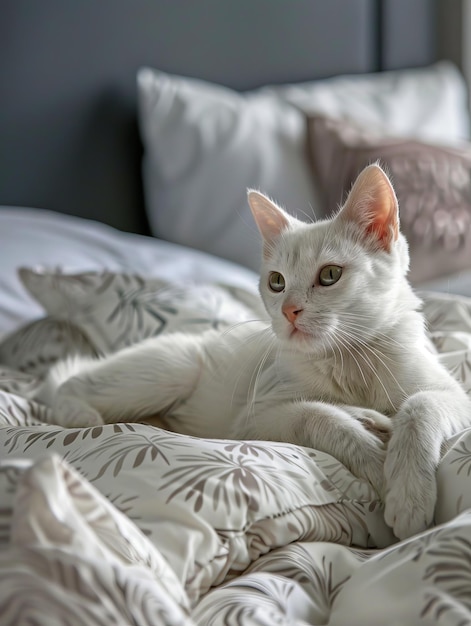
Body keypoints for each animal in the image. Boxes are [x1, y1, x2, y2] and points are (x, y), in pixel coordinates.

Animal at [36, 163, 471, 540]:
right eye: (276, 282)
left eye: (330, 275)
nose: (288, 310)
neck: (348, 359)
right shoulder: (252, 421)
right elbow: (315, 415)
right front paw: (376, 464)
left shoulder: (455, 395)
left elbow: (419, 407)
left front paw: (409, 491)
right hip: (173, 369)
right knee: (69, 385)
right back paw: (82, 415)